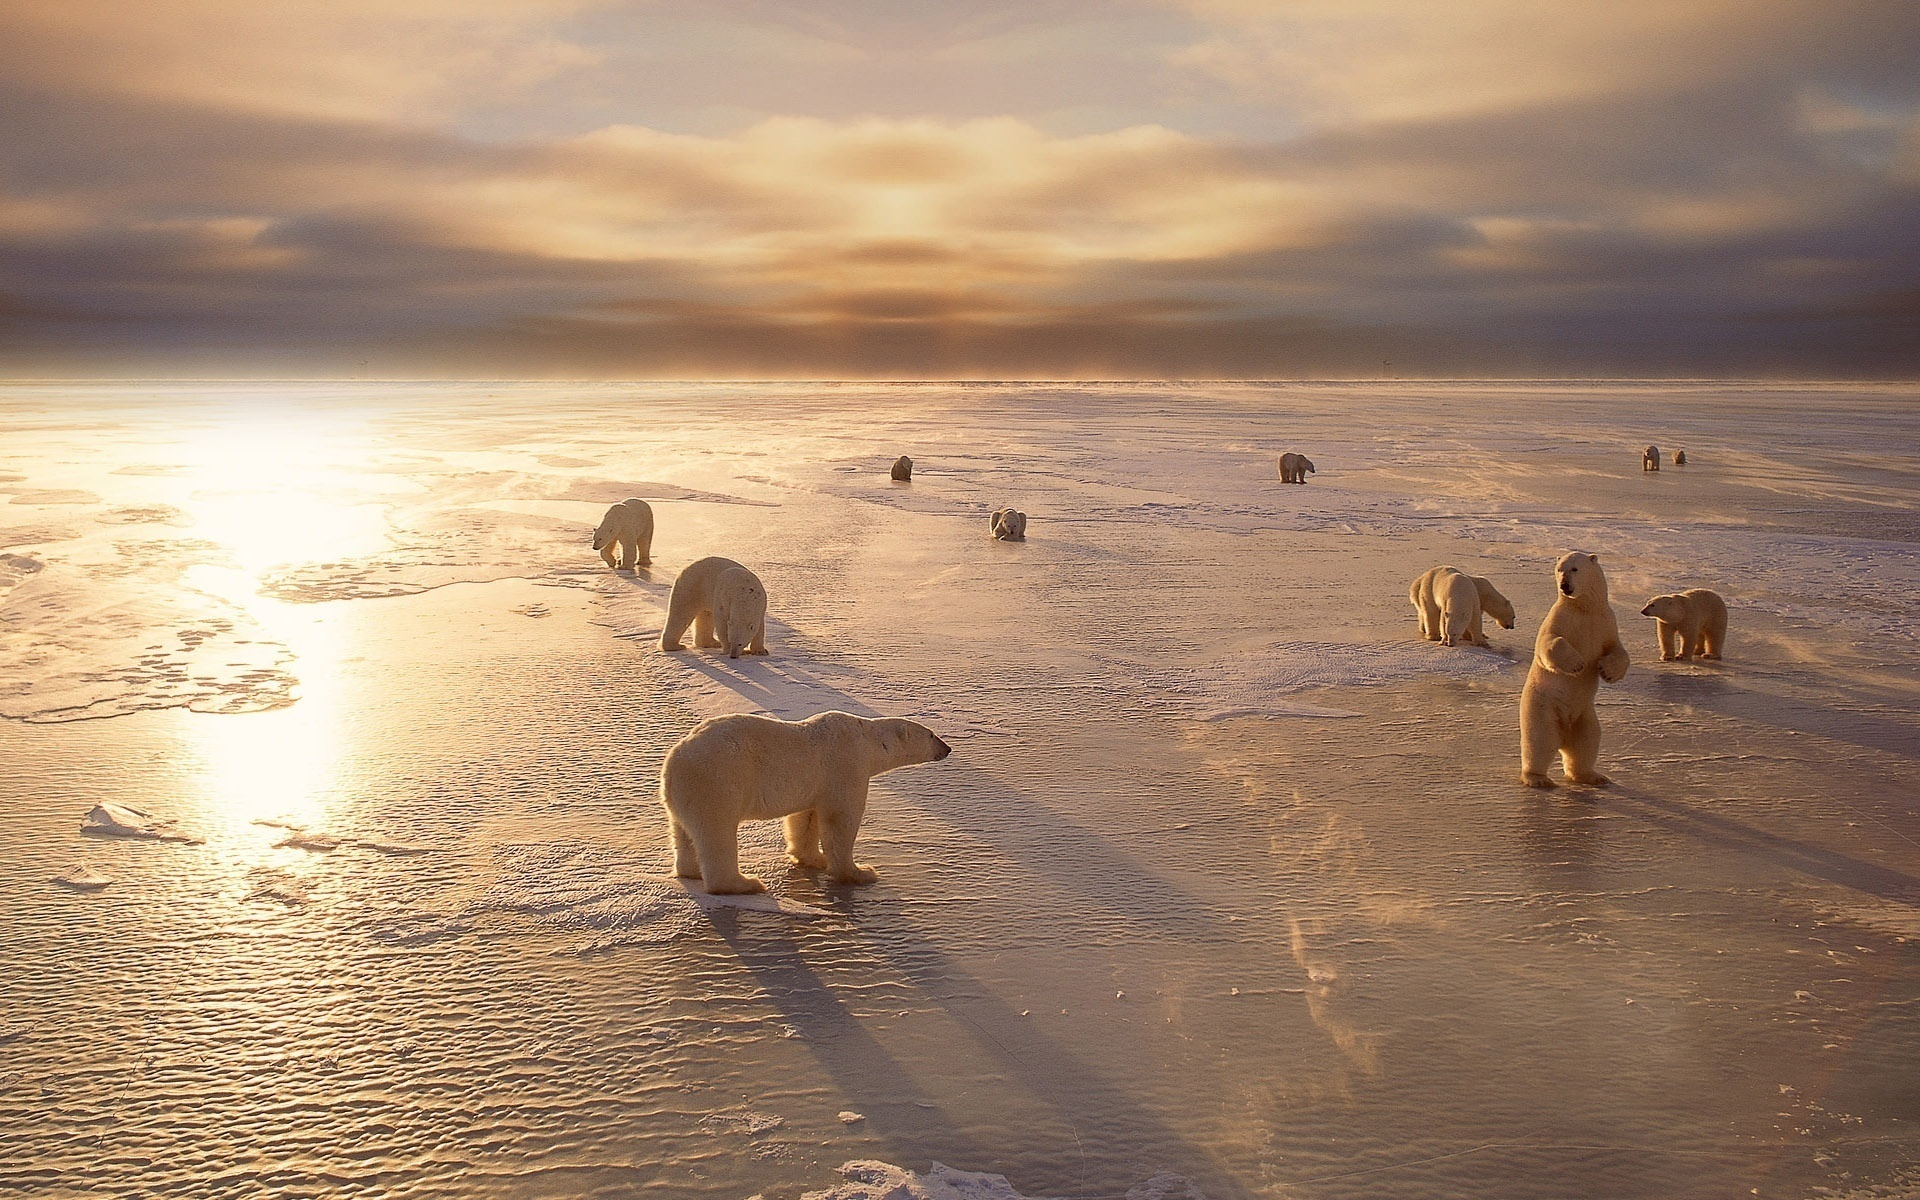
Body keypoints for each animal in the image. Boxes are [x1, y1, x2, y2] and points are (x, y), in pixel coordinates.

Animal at [660, 710, 952, 890]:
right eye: (931, 735)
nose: (947, 748)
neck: (867, 740)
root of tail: (675, 760)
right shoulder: (846, 765)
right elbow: (841, 821)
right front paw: (860, 872)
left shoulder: (815, 783)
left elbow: (806, 818)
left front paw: (813, 859)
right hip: (718, 782)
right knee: (717, 833)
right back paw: (744, 884)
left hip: (684, 795)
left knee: (682, 832)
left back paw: (689, 871)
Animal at [1520, 549, 1628, 787]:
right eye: (1559, 569)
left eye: (1575, 569)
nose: (1564, 585)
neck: (1584, 608)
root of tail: (1564, 736)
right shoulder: (1561, 617)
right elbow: (1549, 642)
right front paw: (1577, 664)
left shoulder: (1606, 621)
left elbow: (1618, 650)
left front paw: (1607, 670)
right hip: (1542, 708)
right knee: (1540, 741)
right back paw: (1537, 778)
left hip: (1584, 715)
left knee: (1586, 742)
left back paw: (1592, 776)